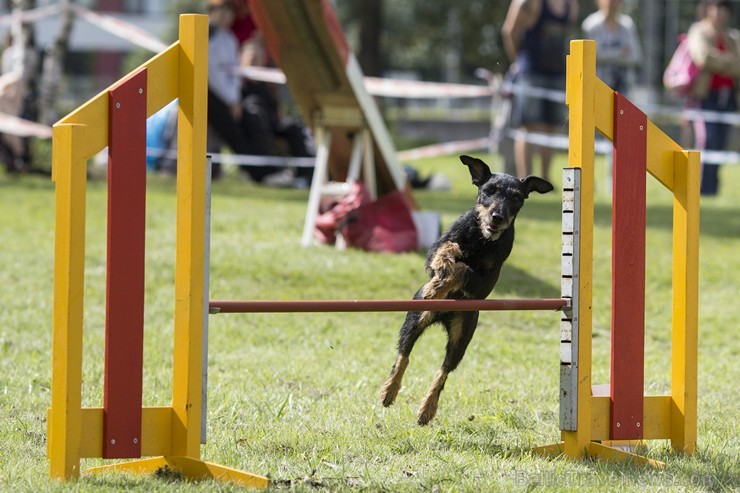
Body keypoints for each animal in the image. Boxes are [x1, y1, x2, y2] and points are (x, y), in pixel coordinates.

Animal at [378, 156, 552, 424]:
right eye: (489, 191)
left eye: (516, 197)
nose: (497, 217)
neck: (481, 239)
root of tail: (442, 317)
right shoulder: (435, 251)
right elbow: (446, 250)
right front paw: (438, 280)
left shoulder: (483, 281)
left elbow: (464, 270)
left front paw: (441, 283)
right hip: (415, 318)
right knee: (403, 355)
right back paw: (389, 390)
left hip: (462, 336)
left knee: (443, 372)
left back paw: (427, 408)